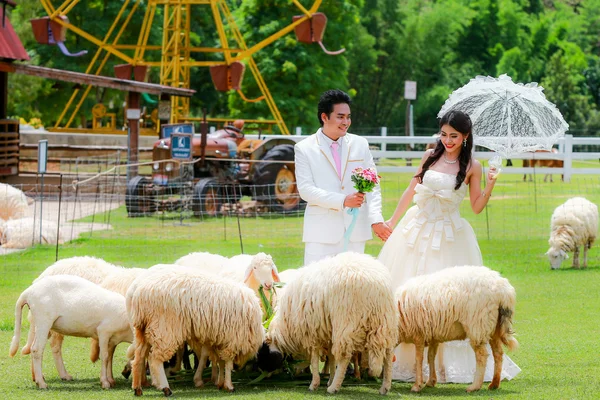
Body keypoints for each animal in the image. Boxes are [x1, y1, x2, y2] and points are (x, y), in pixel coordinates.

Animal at [127, 266, 264, 394]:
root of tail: (138, 293)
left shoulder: (218, 338)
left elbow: (219, 361)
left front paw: (220, 383)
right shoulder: (232, 338)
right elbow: (227, 362)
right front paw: (229, 385)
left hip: (142, 329)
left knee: (138, 357)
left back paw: (137, 388)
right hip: (165, 328)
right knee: (154, 359)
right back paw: (165, 388)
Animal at [258, 252, 398, 396]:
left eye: (264, 354)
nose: (265, 376)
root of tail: (376, 286)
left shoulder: (311, 330)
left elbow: (314, 359)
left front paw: (315, 384)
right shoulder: (328, 330)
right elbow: (331, 356)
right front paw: (329, 379)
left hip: (346, 322)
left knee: (344, 357)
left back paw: (334, 387)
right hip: (386, 321)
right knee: (388, 354)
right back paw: (385, 387)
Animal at [396, 264, 516, 392]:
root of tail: (504, 290)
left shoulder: (419, 333)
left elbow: (419, 359)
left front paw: (417, 385)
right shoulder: (433, 335)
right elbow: (431, 356)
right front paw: (431, 381)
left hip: (478, 324)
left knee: (482, 355)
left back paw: (475, 386)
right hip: (494, 326)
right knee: (498, 353)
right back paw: (494, 383)